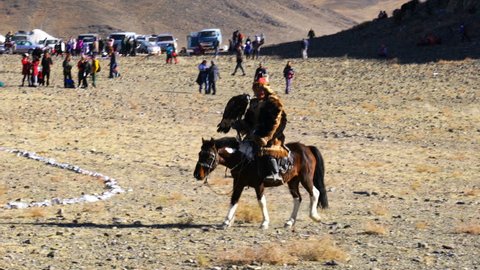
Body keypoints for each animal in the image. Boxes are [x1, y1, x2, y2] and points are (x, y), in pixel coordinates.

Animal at [193, 137, 328, 230]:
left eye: (210, 156)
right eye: (200, 154)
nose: (197, 175)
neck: (244, 159)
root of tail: (307, 148)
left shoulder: (259, 185)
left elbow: (261, 202)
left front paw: (264, 223)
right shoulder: (238, 183)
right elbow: (234, 200)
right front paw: (226, 222)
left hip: (305, 178)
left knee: (315, 193)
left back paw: (315, 216)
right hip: (293, 181)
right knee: (297, 198)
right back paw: (290, 222)